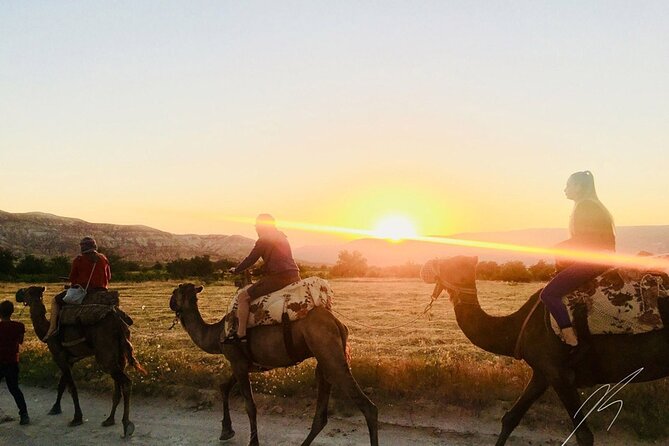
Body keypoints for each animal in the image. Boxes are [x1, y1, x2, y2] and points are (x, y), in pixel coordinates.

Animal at [15, 288, 144, 438]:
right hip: (119, 354)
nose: (18, 293)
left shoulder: (59, 356)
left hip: (105, 355)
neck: (46, 331)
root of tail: (117, 320)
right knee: (118, 384)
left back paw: (127, 424)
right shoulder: (68, 360)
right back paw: (109, 419)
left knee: (125, 382)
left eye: (27, 291)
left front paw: (77, 418)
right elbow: (62, 384)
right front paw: (55, 408)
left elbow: (71, 388)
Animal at [168, 284, 376, 444]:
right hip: (324, 358)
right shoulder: (242, 363)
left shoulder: (237, 361)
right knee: (321, 414)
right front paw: (226, 431)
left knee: (368, 407)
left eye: (175, 292)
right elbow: (224, 387)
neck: (216, 335)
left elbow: (250, 406)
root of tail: (338, 323)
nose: (170, 303)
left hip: (330, 354)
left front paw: (253, 442)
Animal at [430, 254, 669, 446]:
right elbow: (510, 418)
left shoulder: (560, 374)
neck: (519, 327)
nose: (427, 267)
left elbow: (584, 435)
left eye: (452, 265)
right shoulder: (542, 372)